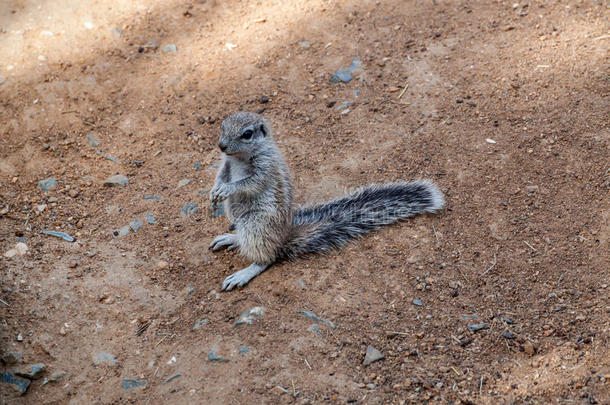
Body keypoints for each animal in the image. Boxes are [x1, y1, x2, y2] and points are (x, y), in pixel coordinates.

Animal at [208, 111, 442, 290]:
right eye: (222, 125)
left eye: (247, 134)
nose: (221, 146)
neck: (238, 158)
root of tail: (283, 238)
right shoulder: (226, 164)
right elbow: (221, 174)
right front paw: (214, 190)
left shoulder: (266, 166)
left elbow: (251, 182)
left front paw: (227, 188)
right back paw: (232, 238)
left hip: (256, 224)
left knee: (267, 257)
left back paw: (245, 271)